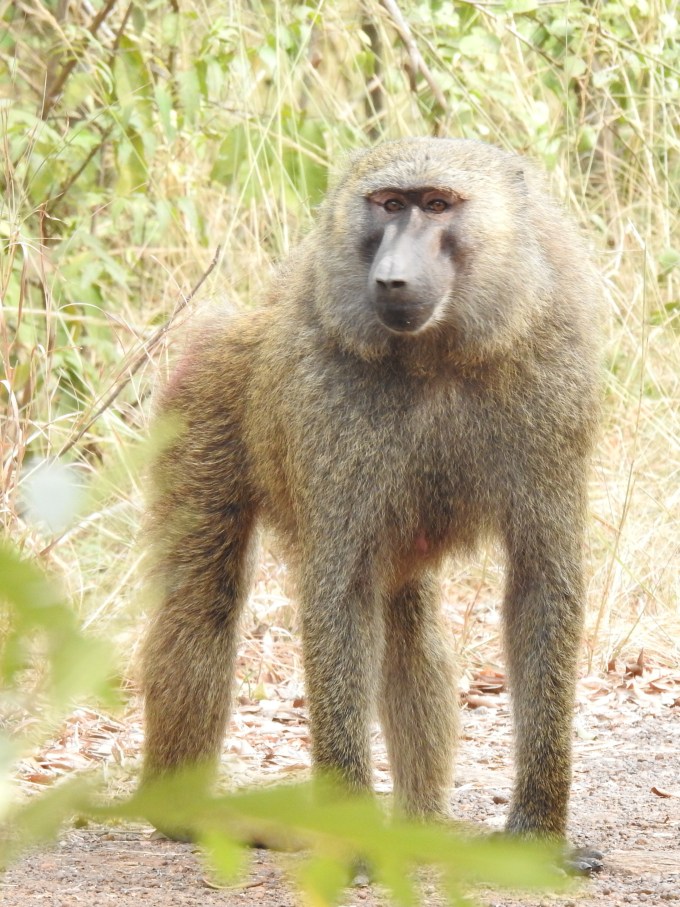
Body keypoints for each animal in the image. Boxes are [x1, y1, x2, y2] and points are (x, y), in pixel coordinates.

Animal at [140, 138, 603, 870]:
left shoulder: (554, 378)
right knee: (201, 603)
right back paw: (182, 813)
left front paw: (536, 834)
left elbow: (539, 583)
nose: (390, 279)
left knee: (409, 628)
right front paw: (347, 837)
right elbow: (341, 594)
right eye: (388, 204)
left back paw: (420, 823)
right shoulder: (327, 400)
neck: (438, 354)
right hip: (201, 398)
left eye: (437, 204)